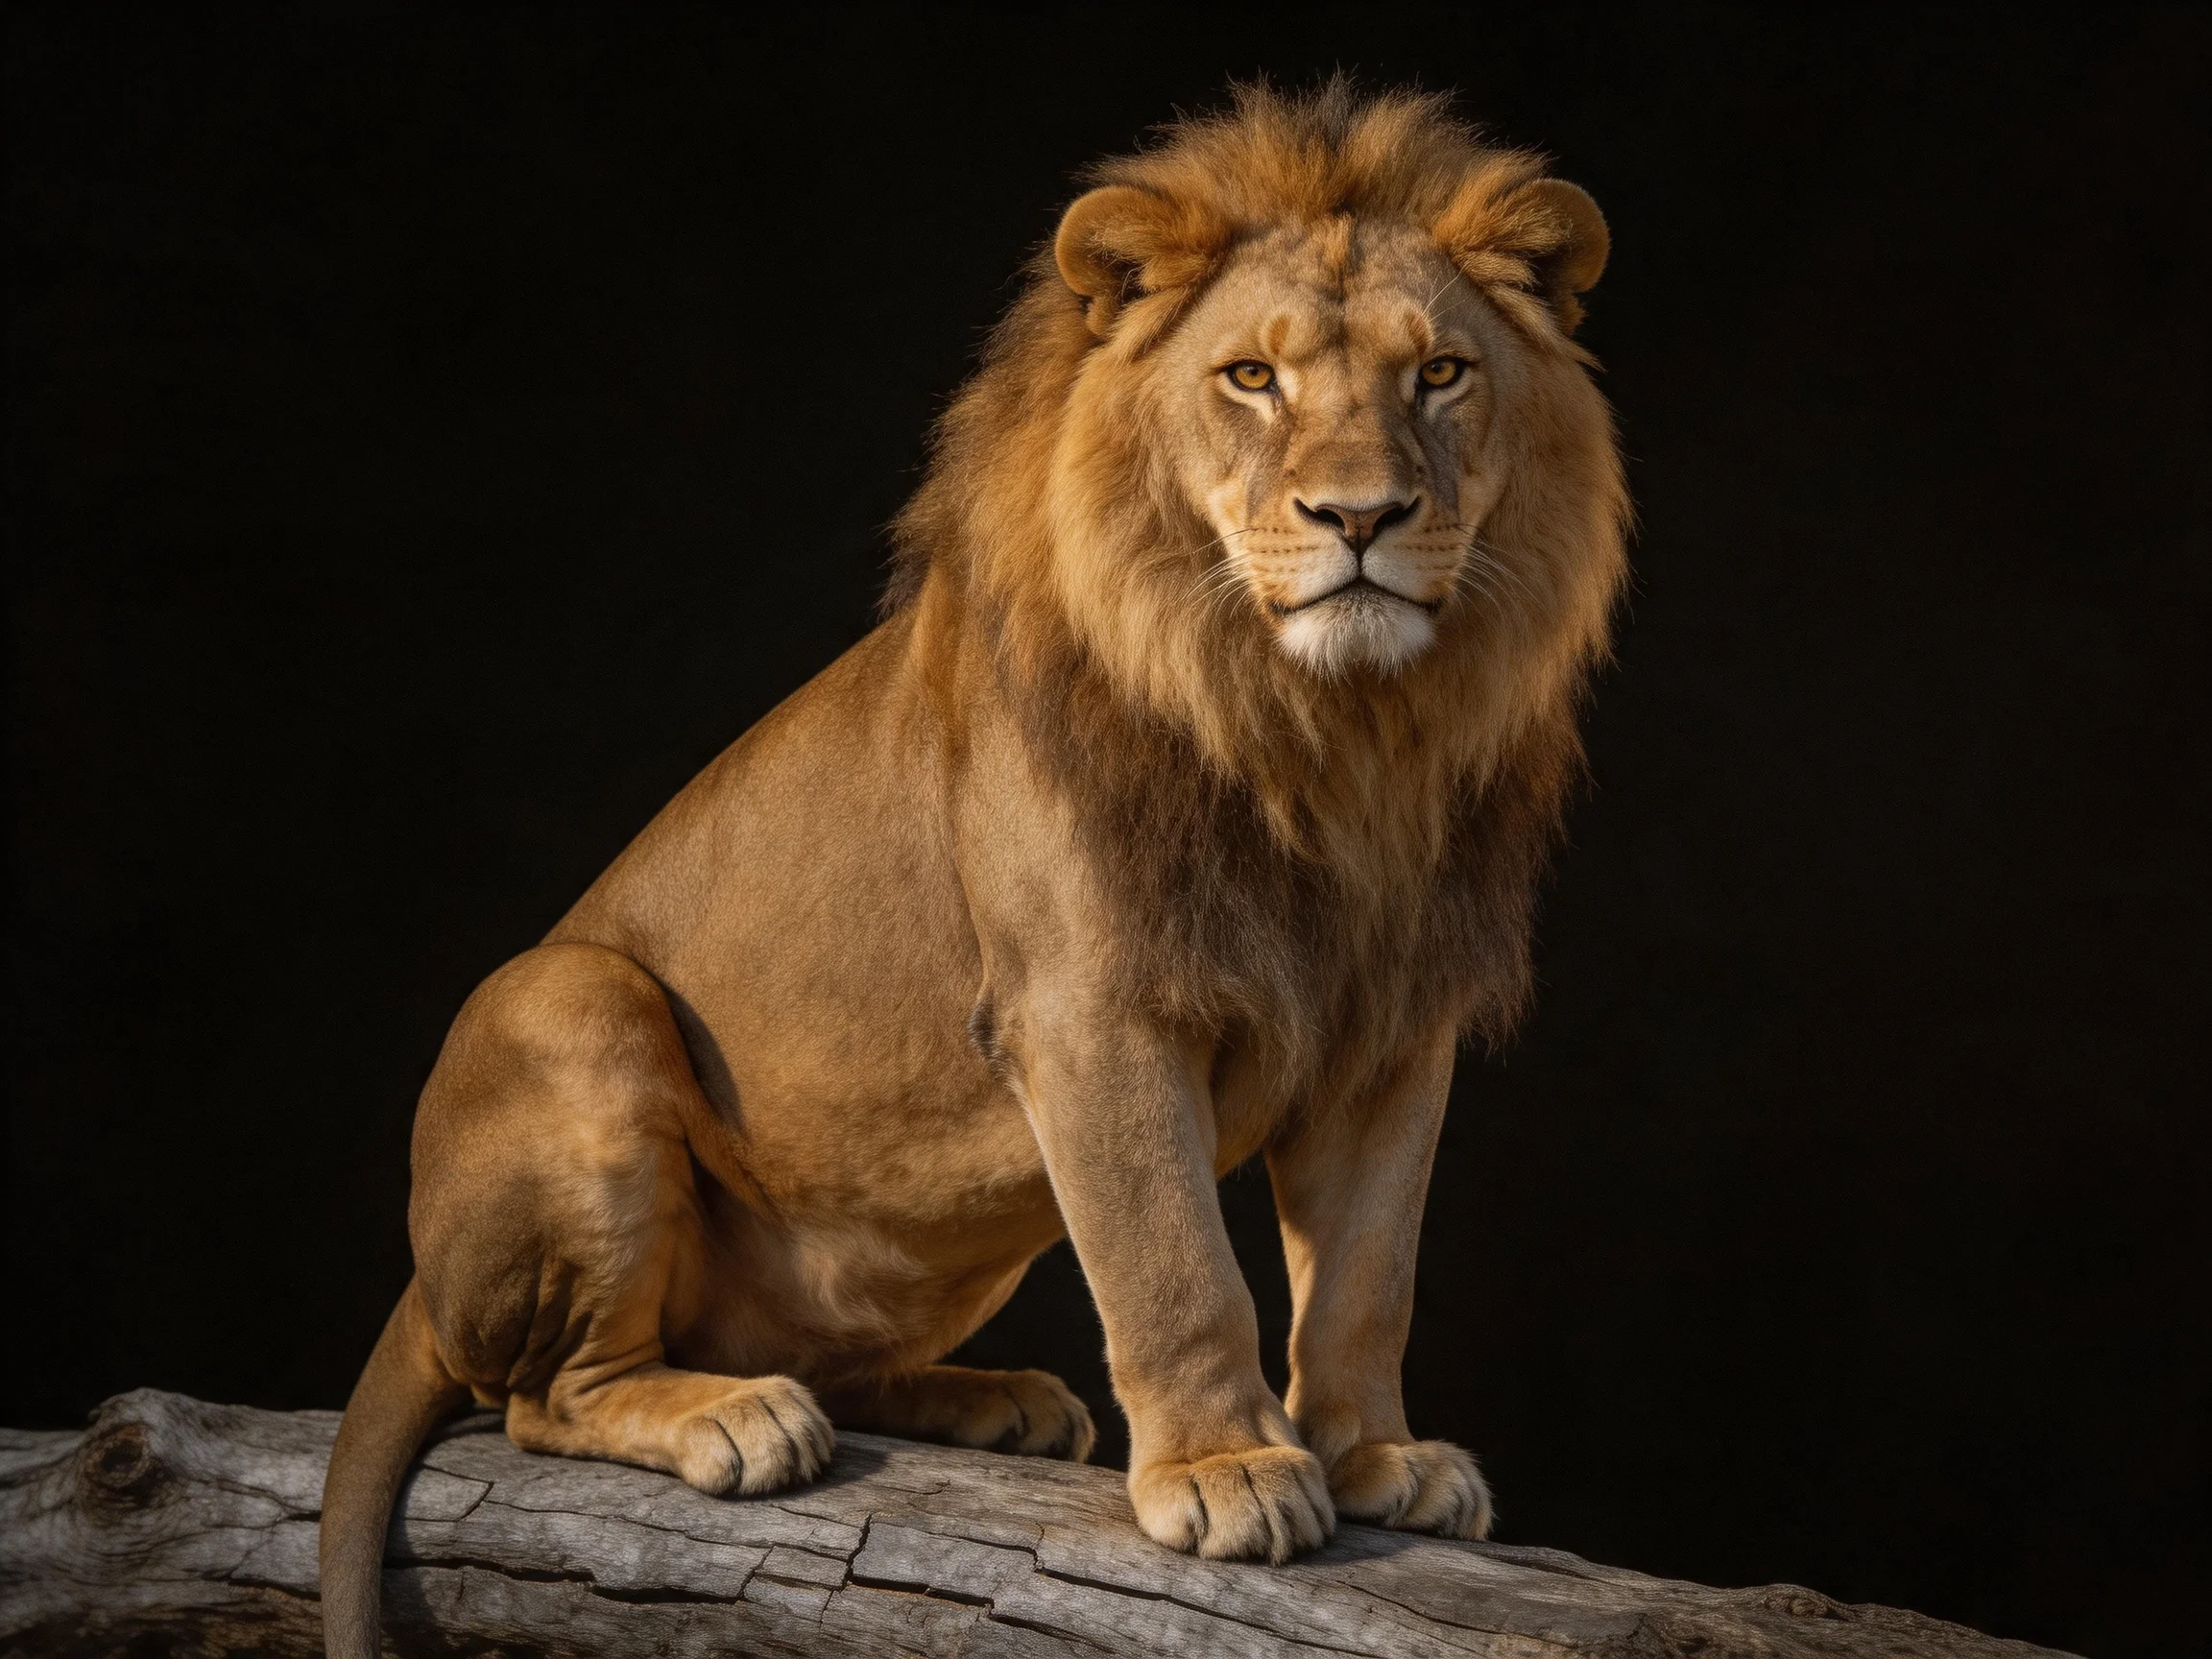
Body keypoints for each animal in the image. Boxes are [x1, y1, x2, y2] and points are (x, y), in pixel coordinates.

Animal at [320, 79, 1626, 1656]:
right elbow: (1175, 1261)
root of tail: (420, 1283)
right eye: (1251, 379)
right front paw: (1228, 1468)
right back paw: (737, 1419)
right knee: (539, 1398)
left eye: (1439, 373)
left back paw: (990, 1402)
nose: (1360, 519)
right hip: (566, 997)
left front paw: (1374, 1452)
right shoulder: (1089, 1012)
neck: (1335, 733)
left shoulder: (1396, 1031)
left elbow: (1369, 1276)